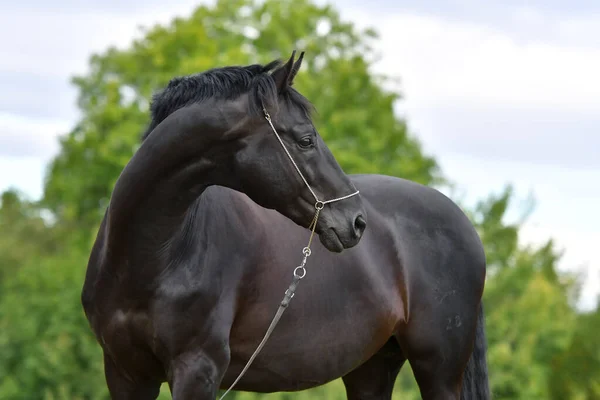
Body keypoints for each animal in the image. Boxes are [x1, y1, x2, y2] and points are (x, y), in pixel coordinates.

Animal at [82, 51, 490, 398]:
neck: (157, 257)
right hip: (371, 368)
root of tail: (462, 220)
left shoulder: (197, 369)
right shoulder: (126, 373)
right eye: (306, 139)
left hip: (438, 371)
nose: (357, 221)